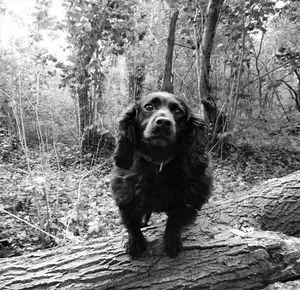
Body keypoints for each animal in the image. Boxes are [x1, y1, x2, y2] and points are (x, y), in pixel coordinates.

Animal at [109, 92, 211, 258]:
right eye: (149, 106)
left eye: (178, 111)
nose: (163, 122)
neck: (158, 161)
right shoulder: (126, 193)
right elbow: (131, 221)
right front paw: (135, 241)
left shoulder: (189, 195)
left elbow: (175, 220)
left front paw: (171, 240)